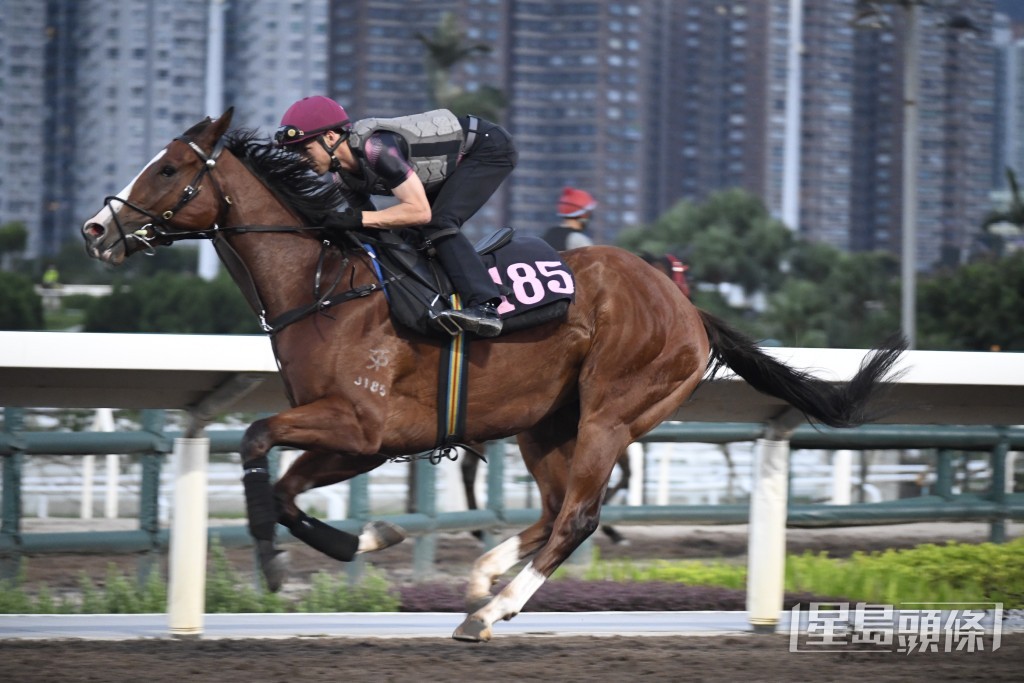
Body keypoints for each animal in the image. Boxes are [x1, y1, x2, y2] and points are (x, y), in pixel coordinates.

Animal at [83, 109, 909, 643]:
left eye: (169, 168)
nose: (97, 227)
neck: (325, 285)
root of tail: (687, 304)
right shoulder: (356, 439)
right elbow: (287, 489)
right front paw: (369, 537)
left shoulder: (362, 425)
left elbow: (256, 441)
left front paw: (274, 563)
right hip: (547, 421)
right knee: (554, 509)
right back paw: (483, 578)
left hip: (612, 411)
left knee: (577, 515)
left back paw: (492, 610)